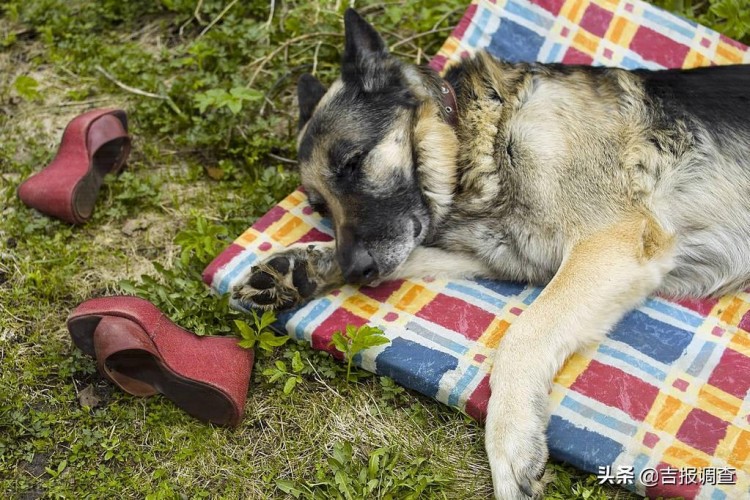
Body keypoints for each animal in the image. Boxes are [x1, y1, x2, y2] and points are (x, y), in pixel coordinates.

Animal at [235, 8, 750, 500]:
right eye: (320, 206)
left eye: (353, 162)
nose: (355, 269)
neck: (478, 133)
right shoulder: (498, 254)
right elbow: (418, 254)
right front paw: (299, 267)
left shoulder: (611, 244)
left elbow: (521, 337)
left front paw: (510, 444)